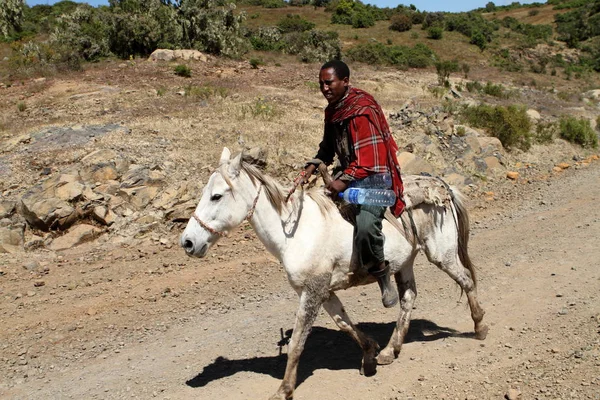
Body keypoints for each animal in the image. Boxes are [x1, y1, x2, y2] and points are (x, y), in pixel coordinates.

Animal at [182, 148, 488, 400]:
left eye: (217, 196)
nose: (187, 242)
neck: (294, 231)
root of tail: (442, 186)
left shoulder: (313, 292)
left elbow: (297, 342)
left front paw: (284, 390)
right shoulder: (324, 292)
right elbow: (344, 323)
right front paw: (370, 353)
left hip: (441, 253)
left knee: (466, 279)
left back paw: (479, 327)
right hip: (406, 260)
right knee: (408, 297)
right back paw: (390, 350)